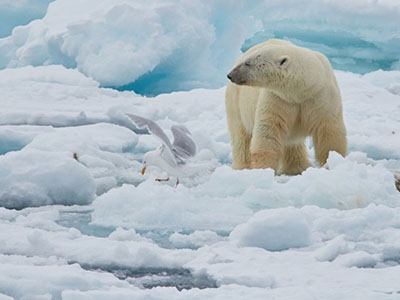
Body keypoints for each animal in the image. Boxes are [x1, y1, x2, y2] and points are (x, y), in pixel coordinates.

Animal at [225, 39, 346, 175]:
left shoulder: (320, 96)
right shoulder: (278, 99)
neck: (301, 91)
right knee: (240, 136)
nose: (230, 75)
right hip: (236, 103)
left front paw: (333, 162)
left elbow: (329, 132)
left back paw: (299, 167)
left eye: (248, 63)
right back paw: (243, 167)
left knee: (292, 143)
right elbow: (269, 132)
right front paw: (264, 170)